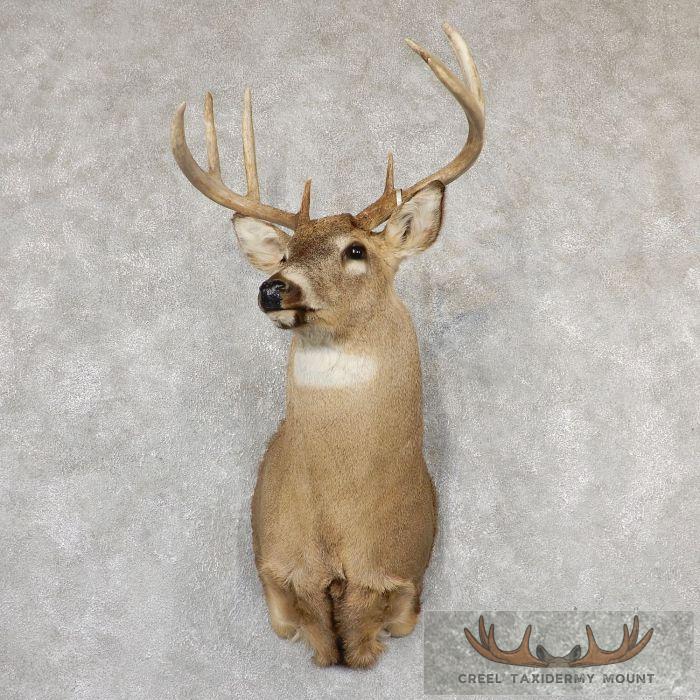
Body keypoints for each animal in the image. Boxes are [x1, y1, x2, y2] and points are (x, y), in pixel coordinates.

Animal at [171, 23, 485, 668]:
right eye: (286, 254)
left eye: (356, 250)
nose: (273, 288)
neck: (341, 528)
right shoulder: (273, 563)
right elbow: (293, 622)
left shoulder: (407, 577)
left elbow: (388, 623)